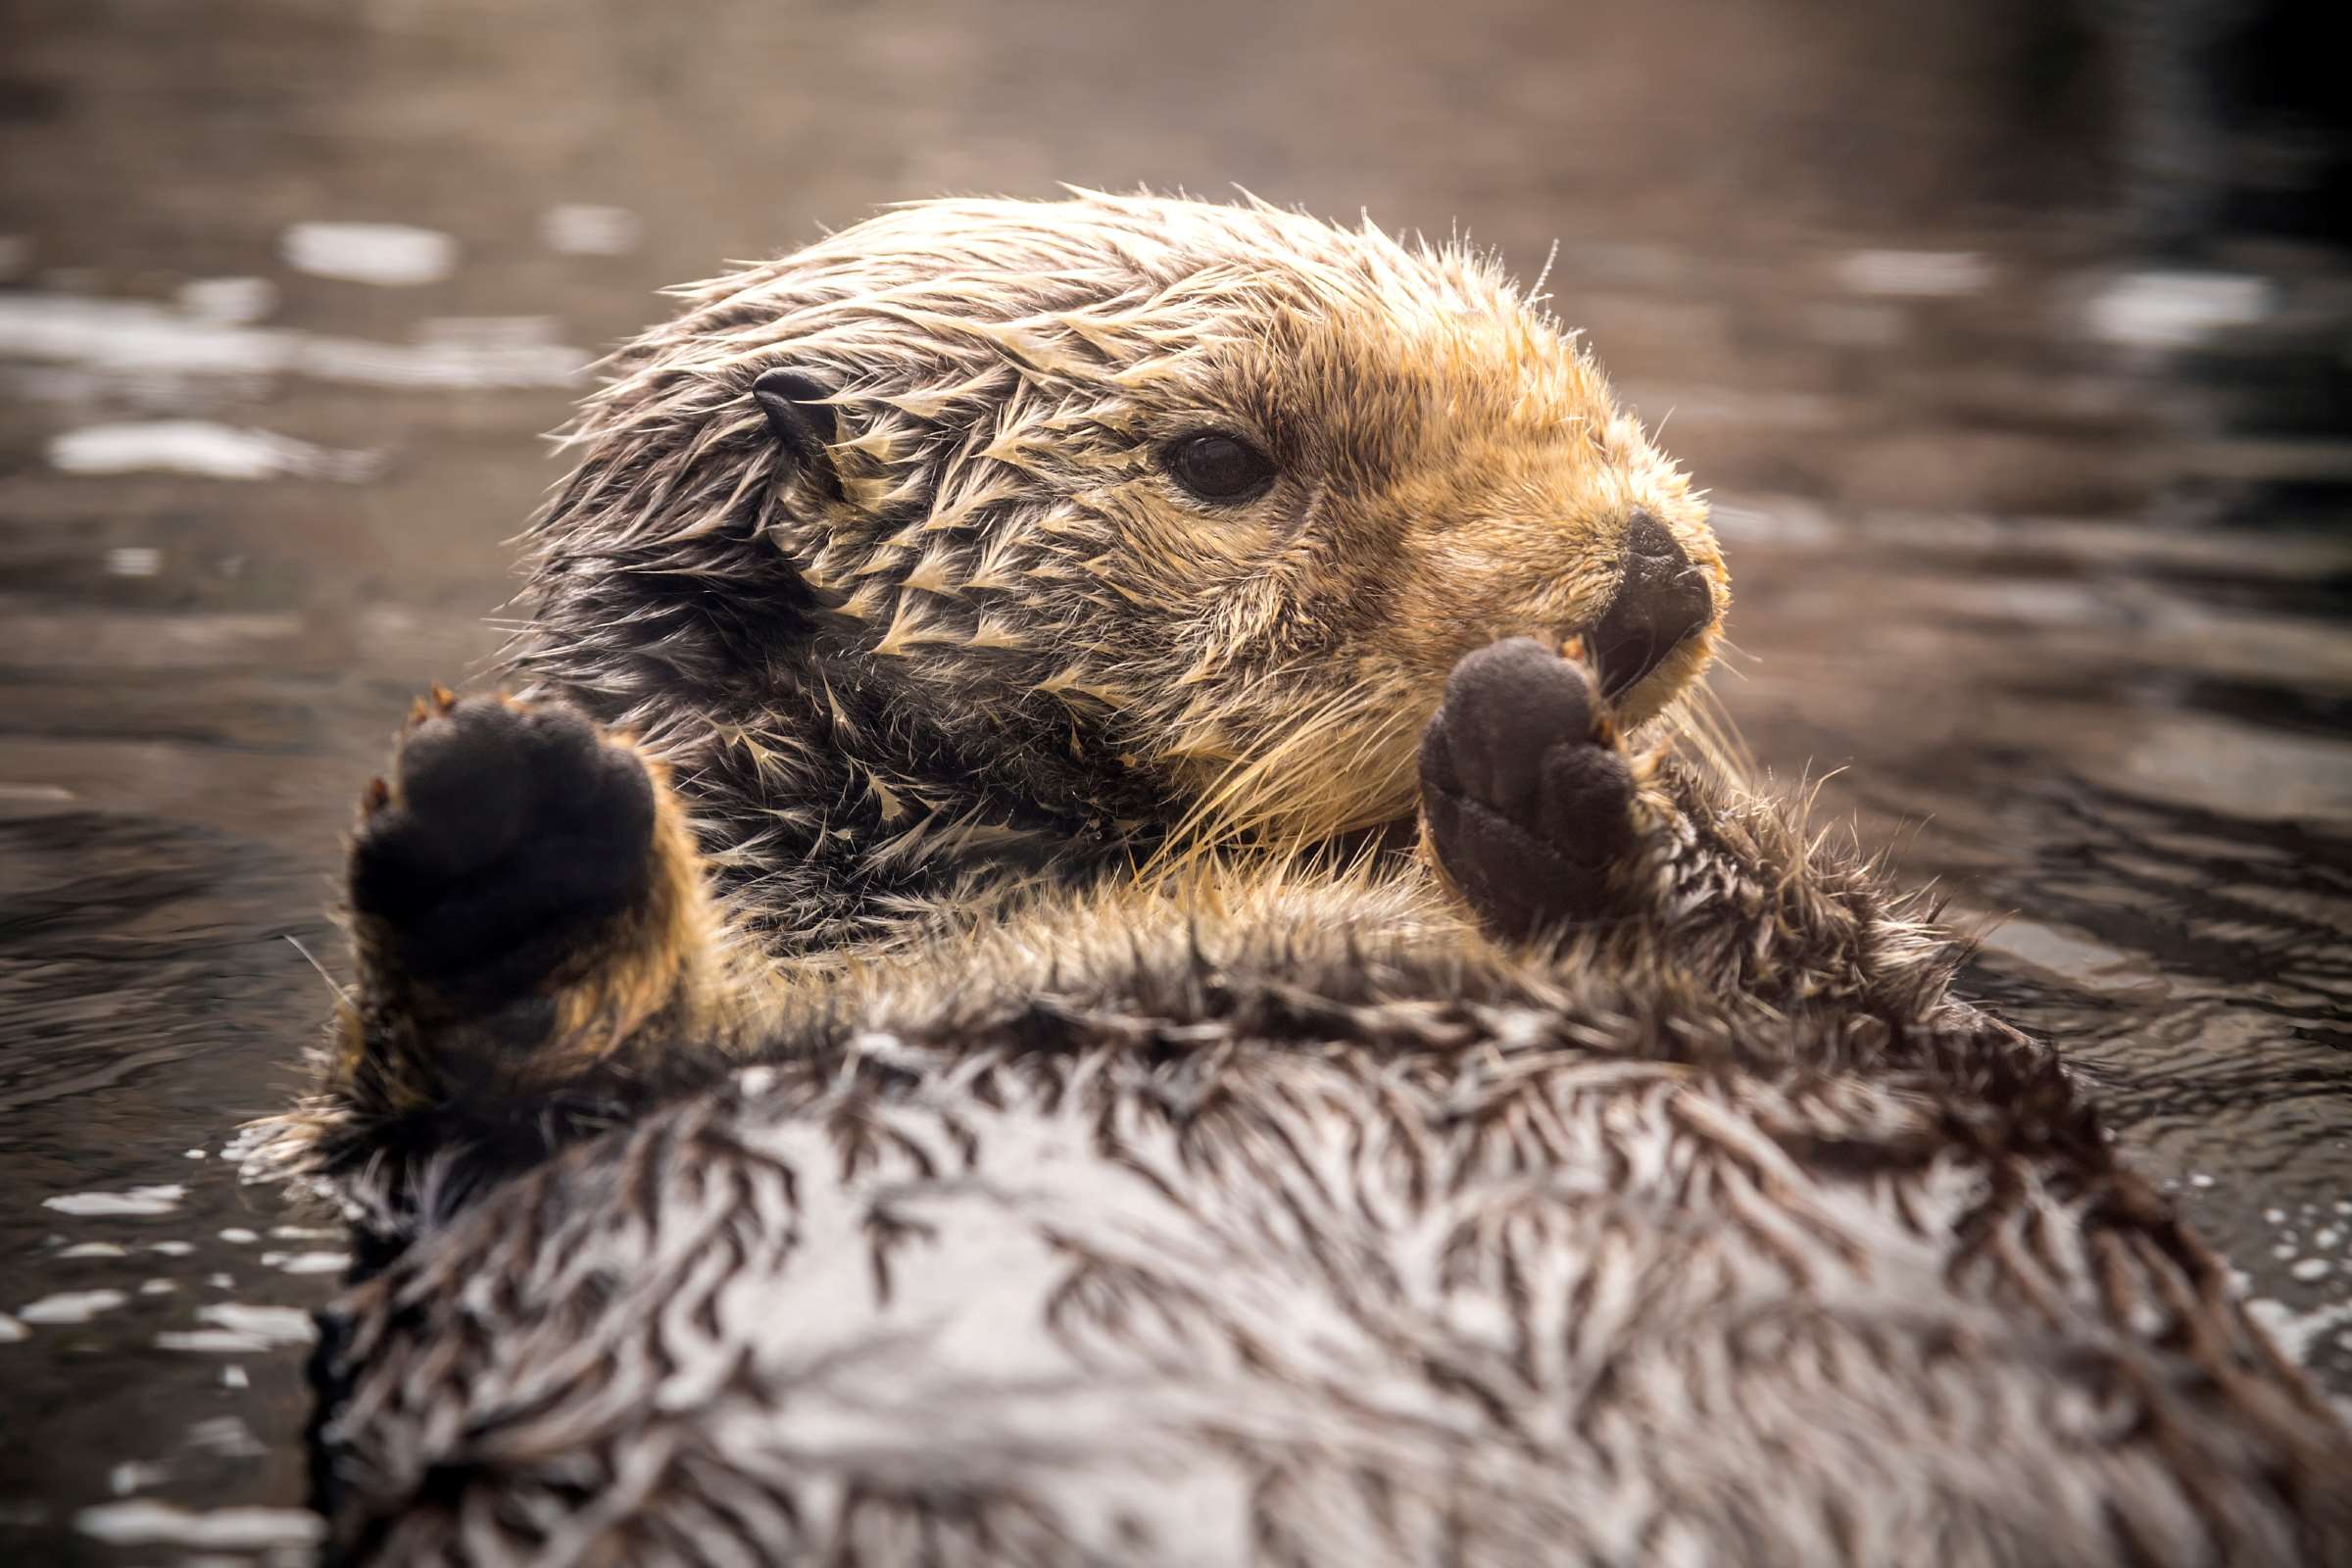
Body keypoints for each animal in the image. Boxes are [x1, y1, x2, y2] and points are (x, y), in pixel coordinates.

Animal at [248, 196, 2342, 1568]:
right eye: (1219, 459)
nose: (1648, 582)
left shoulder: (1921, 1039)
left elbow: (1915, 1010)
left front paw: (1579, 778)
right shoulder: (432, 1151)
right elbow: (421, 1113)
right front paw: (508, 822)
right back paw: (517, 844)